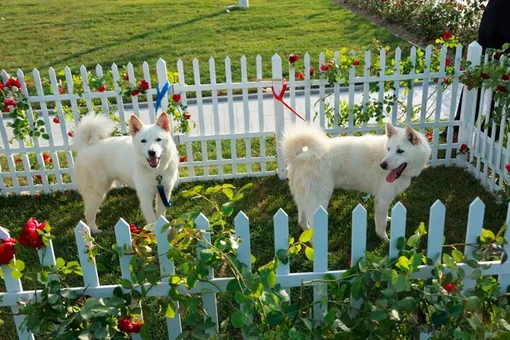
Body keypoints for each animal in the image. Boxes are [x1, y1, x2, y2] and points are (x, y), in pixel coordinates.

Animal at [280, 123, 432, 240]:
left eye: (400, 151)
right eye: (389, 149)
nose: (382, 165)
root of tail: (298, 158)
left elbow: (384, 218)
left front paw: (388, 219)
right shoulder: (382, 199)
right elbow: (381, 224)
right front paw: (385, 240)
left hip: (302, 200)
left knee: (302, 221)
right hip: (319, 201)